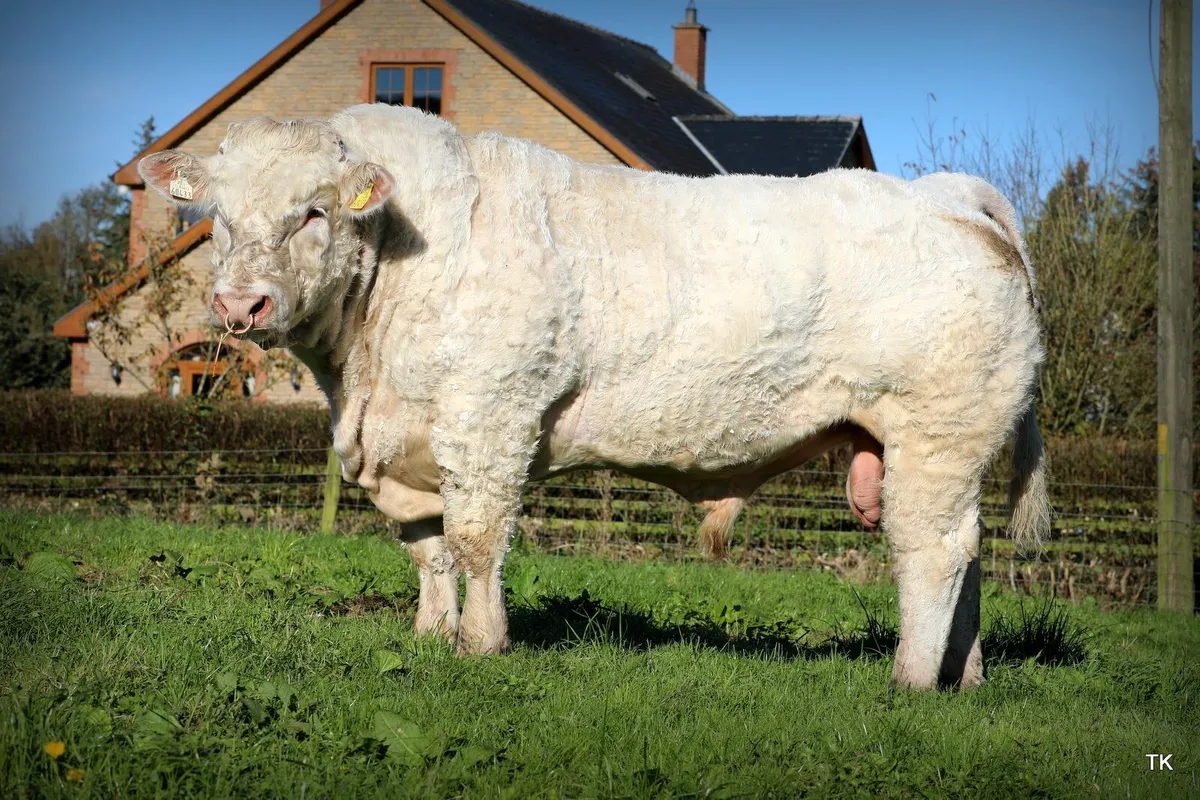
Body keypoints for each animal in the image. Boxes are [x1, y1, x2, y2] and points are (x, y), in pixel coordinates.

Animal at [138, 103, 1050, 690]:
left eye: (313, 212)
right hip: (943, 448)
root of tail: (947, 193)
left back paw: (911, 681)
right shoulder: (408, 446)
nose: (240, 304)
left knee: (931, 552)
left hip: (936, 432)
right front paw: (430, 637)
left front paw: (481, 644)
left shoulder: (489, 420)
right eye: (218, 215)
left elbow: (475, 541)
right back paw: (965, 677)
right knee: (967, 555)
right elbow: (428, 550)